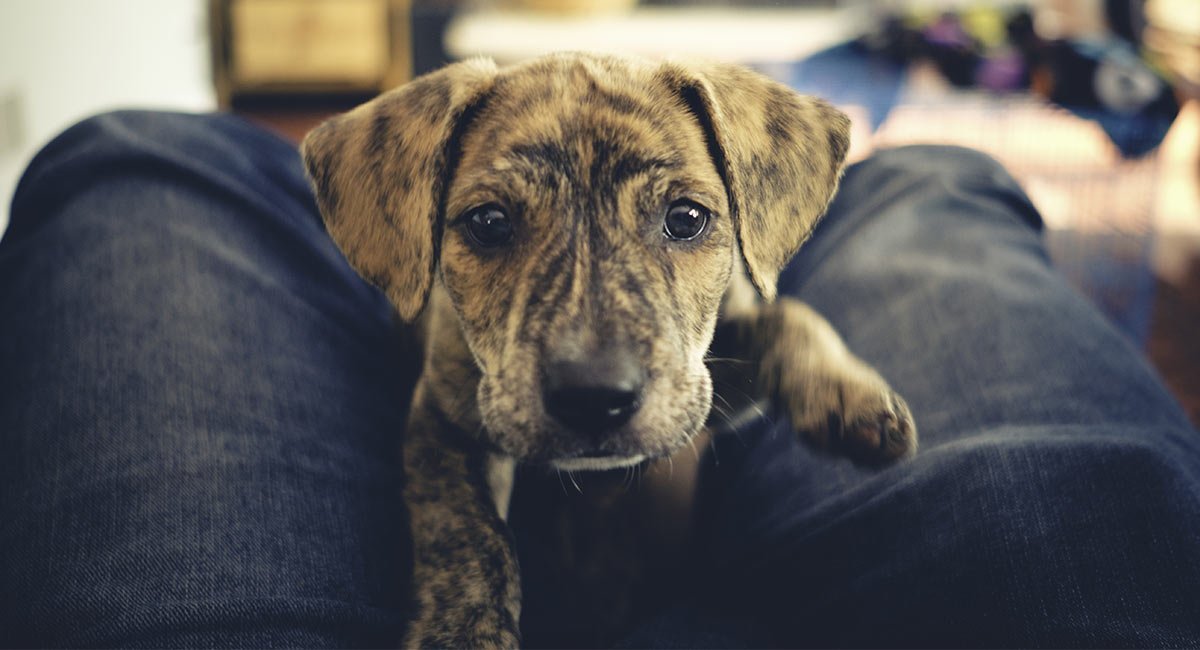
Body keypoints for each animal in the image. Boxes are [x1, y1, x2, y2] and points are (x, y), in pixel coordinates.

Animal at [302, 53, 916, 647]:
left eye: (686, 218)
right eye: (489, 222)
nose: (593, 398)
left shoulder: (708, 385)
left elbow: (786, 319)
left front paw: (850, 397)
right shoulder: (443, 413)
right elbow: (465, 530)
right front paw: (461, 630)